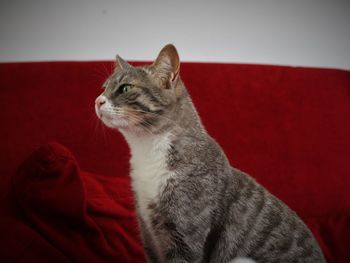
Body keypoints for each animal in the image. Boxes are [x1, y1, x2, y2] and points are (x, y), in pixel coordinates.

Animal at [95, 44, 326, 263]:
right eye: (104, 88)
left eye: (125, 88)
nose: (98, 100)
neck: (147, 151)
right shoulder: (148, 233)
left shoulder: (186, 236)